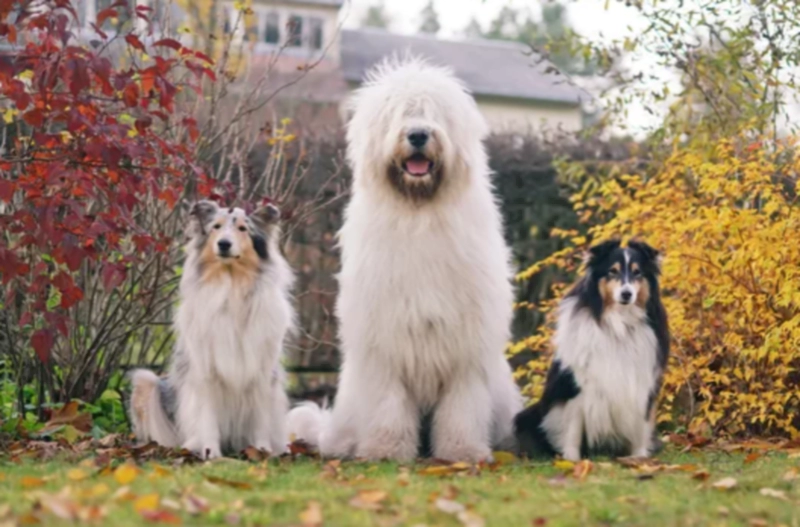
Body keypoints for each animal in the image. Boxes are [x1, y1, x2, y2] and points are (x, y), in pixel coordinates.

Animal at [130, 202, 296, 462]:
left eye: (243, 229)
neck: (232, 287)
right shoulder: (205, 369)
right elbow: (206, 415)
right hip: (145, 382)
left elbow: (260, 417)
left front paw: (262, 451)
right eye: (216, 227)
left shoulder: (262, 370)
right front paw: (210, 453)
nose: (224, 244)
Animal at [288, 57, 524, 462]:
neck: (419, 215)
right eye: (398, 112)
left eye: (435, 112)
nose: (417, 134)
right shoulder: (386, 338)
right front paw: (386, 449)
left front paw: (461, 451)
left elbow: (462, 405)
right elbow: (389, 401)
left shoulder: (466, 346)